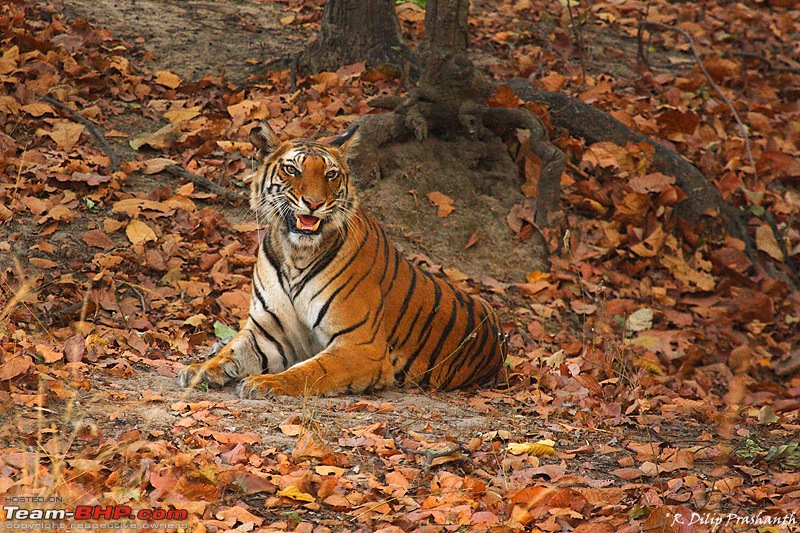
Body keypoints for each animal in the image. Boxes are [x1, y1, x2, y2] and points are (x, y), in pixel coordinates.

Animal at [180, 120, 506, 394]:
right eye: (293, 170)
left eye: (331, 174)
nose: (313, 203)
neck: (295, 254)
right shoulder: (267, 331)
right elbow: (231, 353)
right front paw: (199, 370)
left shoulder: (361, 346)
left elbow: (311, 370)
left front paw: (267, 382)